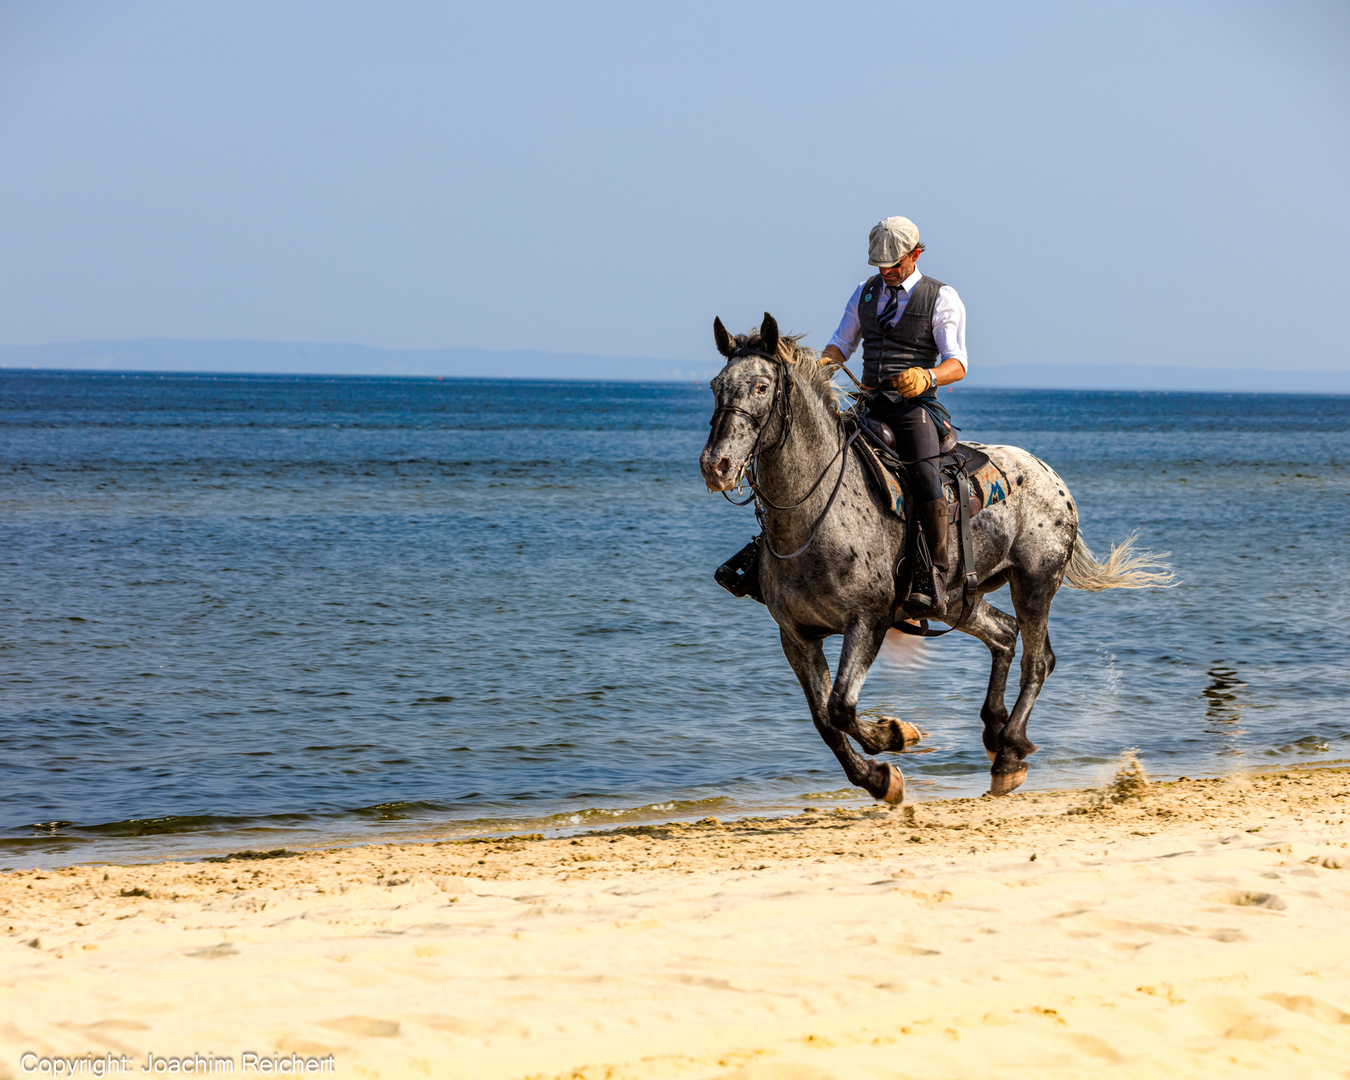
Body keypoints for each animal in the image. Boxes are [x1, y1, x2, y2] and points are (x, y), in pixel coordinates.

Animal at [696, 311, 1171, 799]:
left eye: (761, 387)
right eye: (716, 385)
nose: (716, 466)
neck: (814, 515)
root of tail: (1050, 476)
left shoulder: (868, 621)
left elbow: (841, 707)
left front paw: (895, 736)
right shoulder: (796, 636)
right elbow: (824, 720)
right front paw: (878, 778)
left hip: (1034, 583)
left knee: (1037, 661)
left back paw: (1009, 751)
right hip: (958, 601)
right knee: (1005, 635)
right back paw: (997, 731)